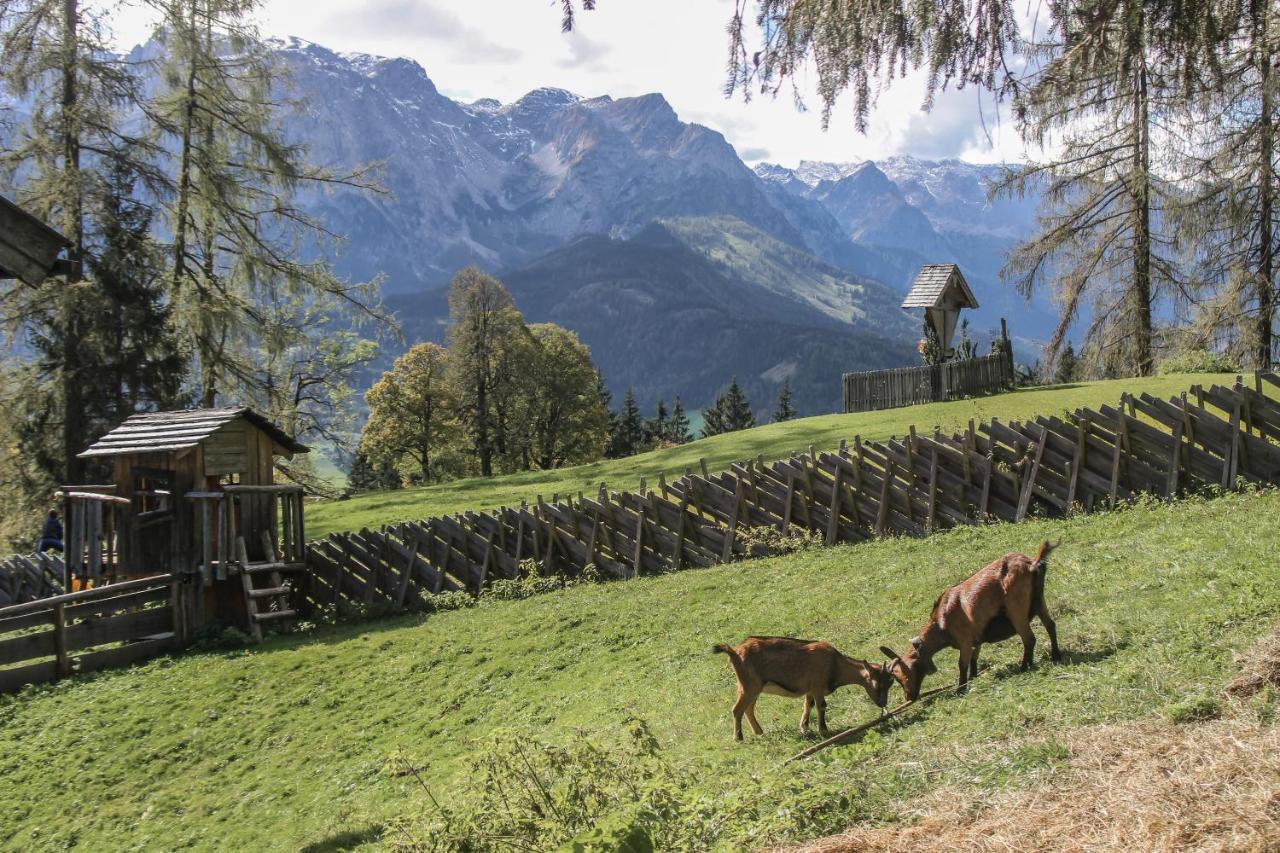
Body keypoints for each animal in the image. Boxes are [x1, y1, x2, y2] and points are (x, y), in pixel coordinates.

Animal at [711, 630, 890, 737]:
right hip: (749, 687)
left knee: (748, 709)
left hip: (751, 688)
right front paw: (823, 730)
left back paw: (759, 732)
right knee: (737, 709)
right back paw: (739, 738)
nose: (883, 703)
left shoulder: (809, 689)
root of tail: (734, 651)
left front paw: (804, 727)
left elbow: (808, 705)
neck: (835, 664)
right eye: (878, 684)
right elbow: (821, 706)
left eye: (890, 684)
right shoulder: (818, 687)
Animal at [880, 537, 1059, 696]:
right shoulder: (976, 636)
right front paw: (973, 677)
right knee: (1050, 625)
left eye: (900, 675)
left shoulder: (964, 640)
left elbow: (962, 664)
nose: (909, 696)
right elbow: (975, 656)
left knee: (1029, 638)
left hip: (1016, 609)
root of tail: (1032, 564)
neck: (941, 622)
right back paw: (1055, 655)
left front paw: (960, 689)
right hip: (1039, 601)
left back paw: (1024, 666)